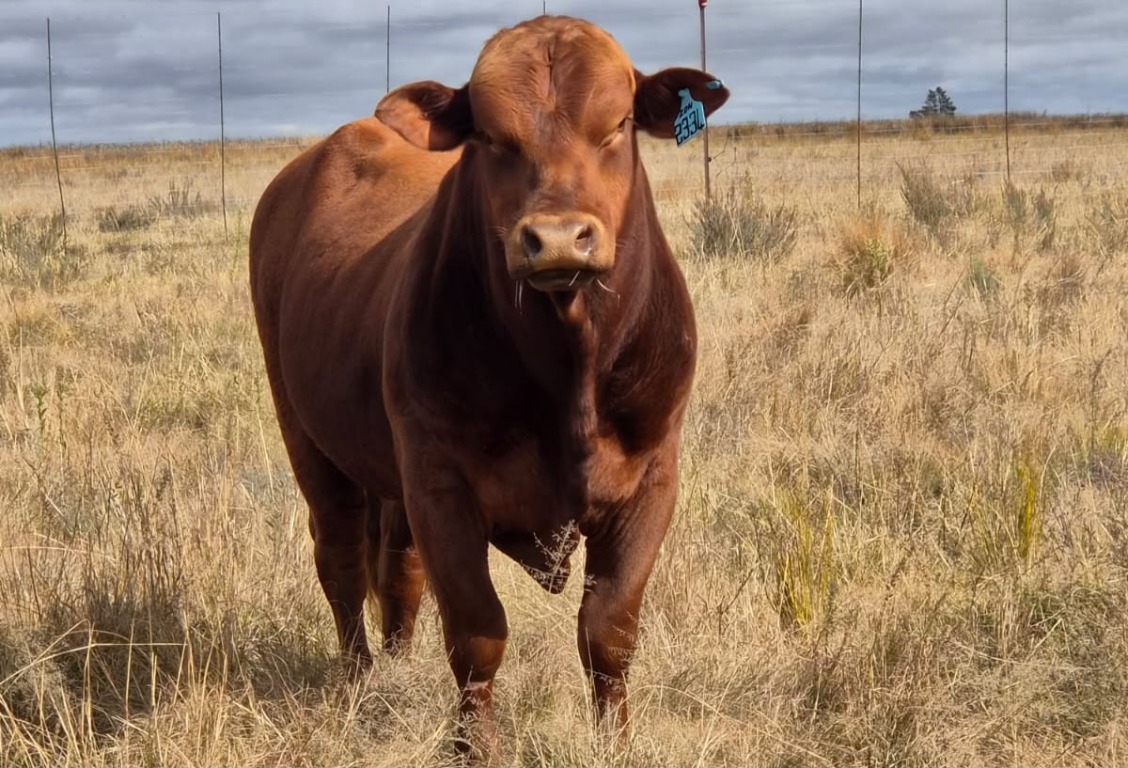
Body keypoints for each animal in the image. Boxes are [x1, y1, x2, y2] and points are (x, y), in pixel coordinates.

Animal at [249, 14, 728, 756]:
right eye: (488, 134)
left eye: (618, 122)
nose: (557, 239)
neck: (568, 368)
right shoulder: (441, 484)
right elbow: (477, 631)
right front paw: (475, 748)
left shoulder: (652, 478)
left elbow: (609, 628)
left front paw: (614, 741)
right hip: (308, 437)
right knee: (340, 560)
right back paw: (360, 683)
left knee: (397, 567)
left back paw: (396, 663)